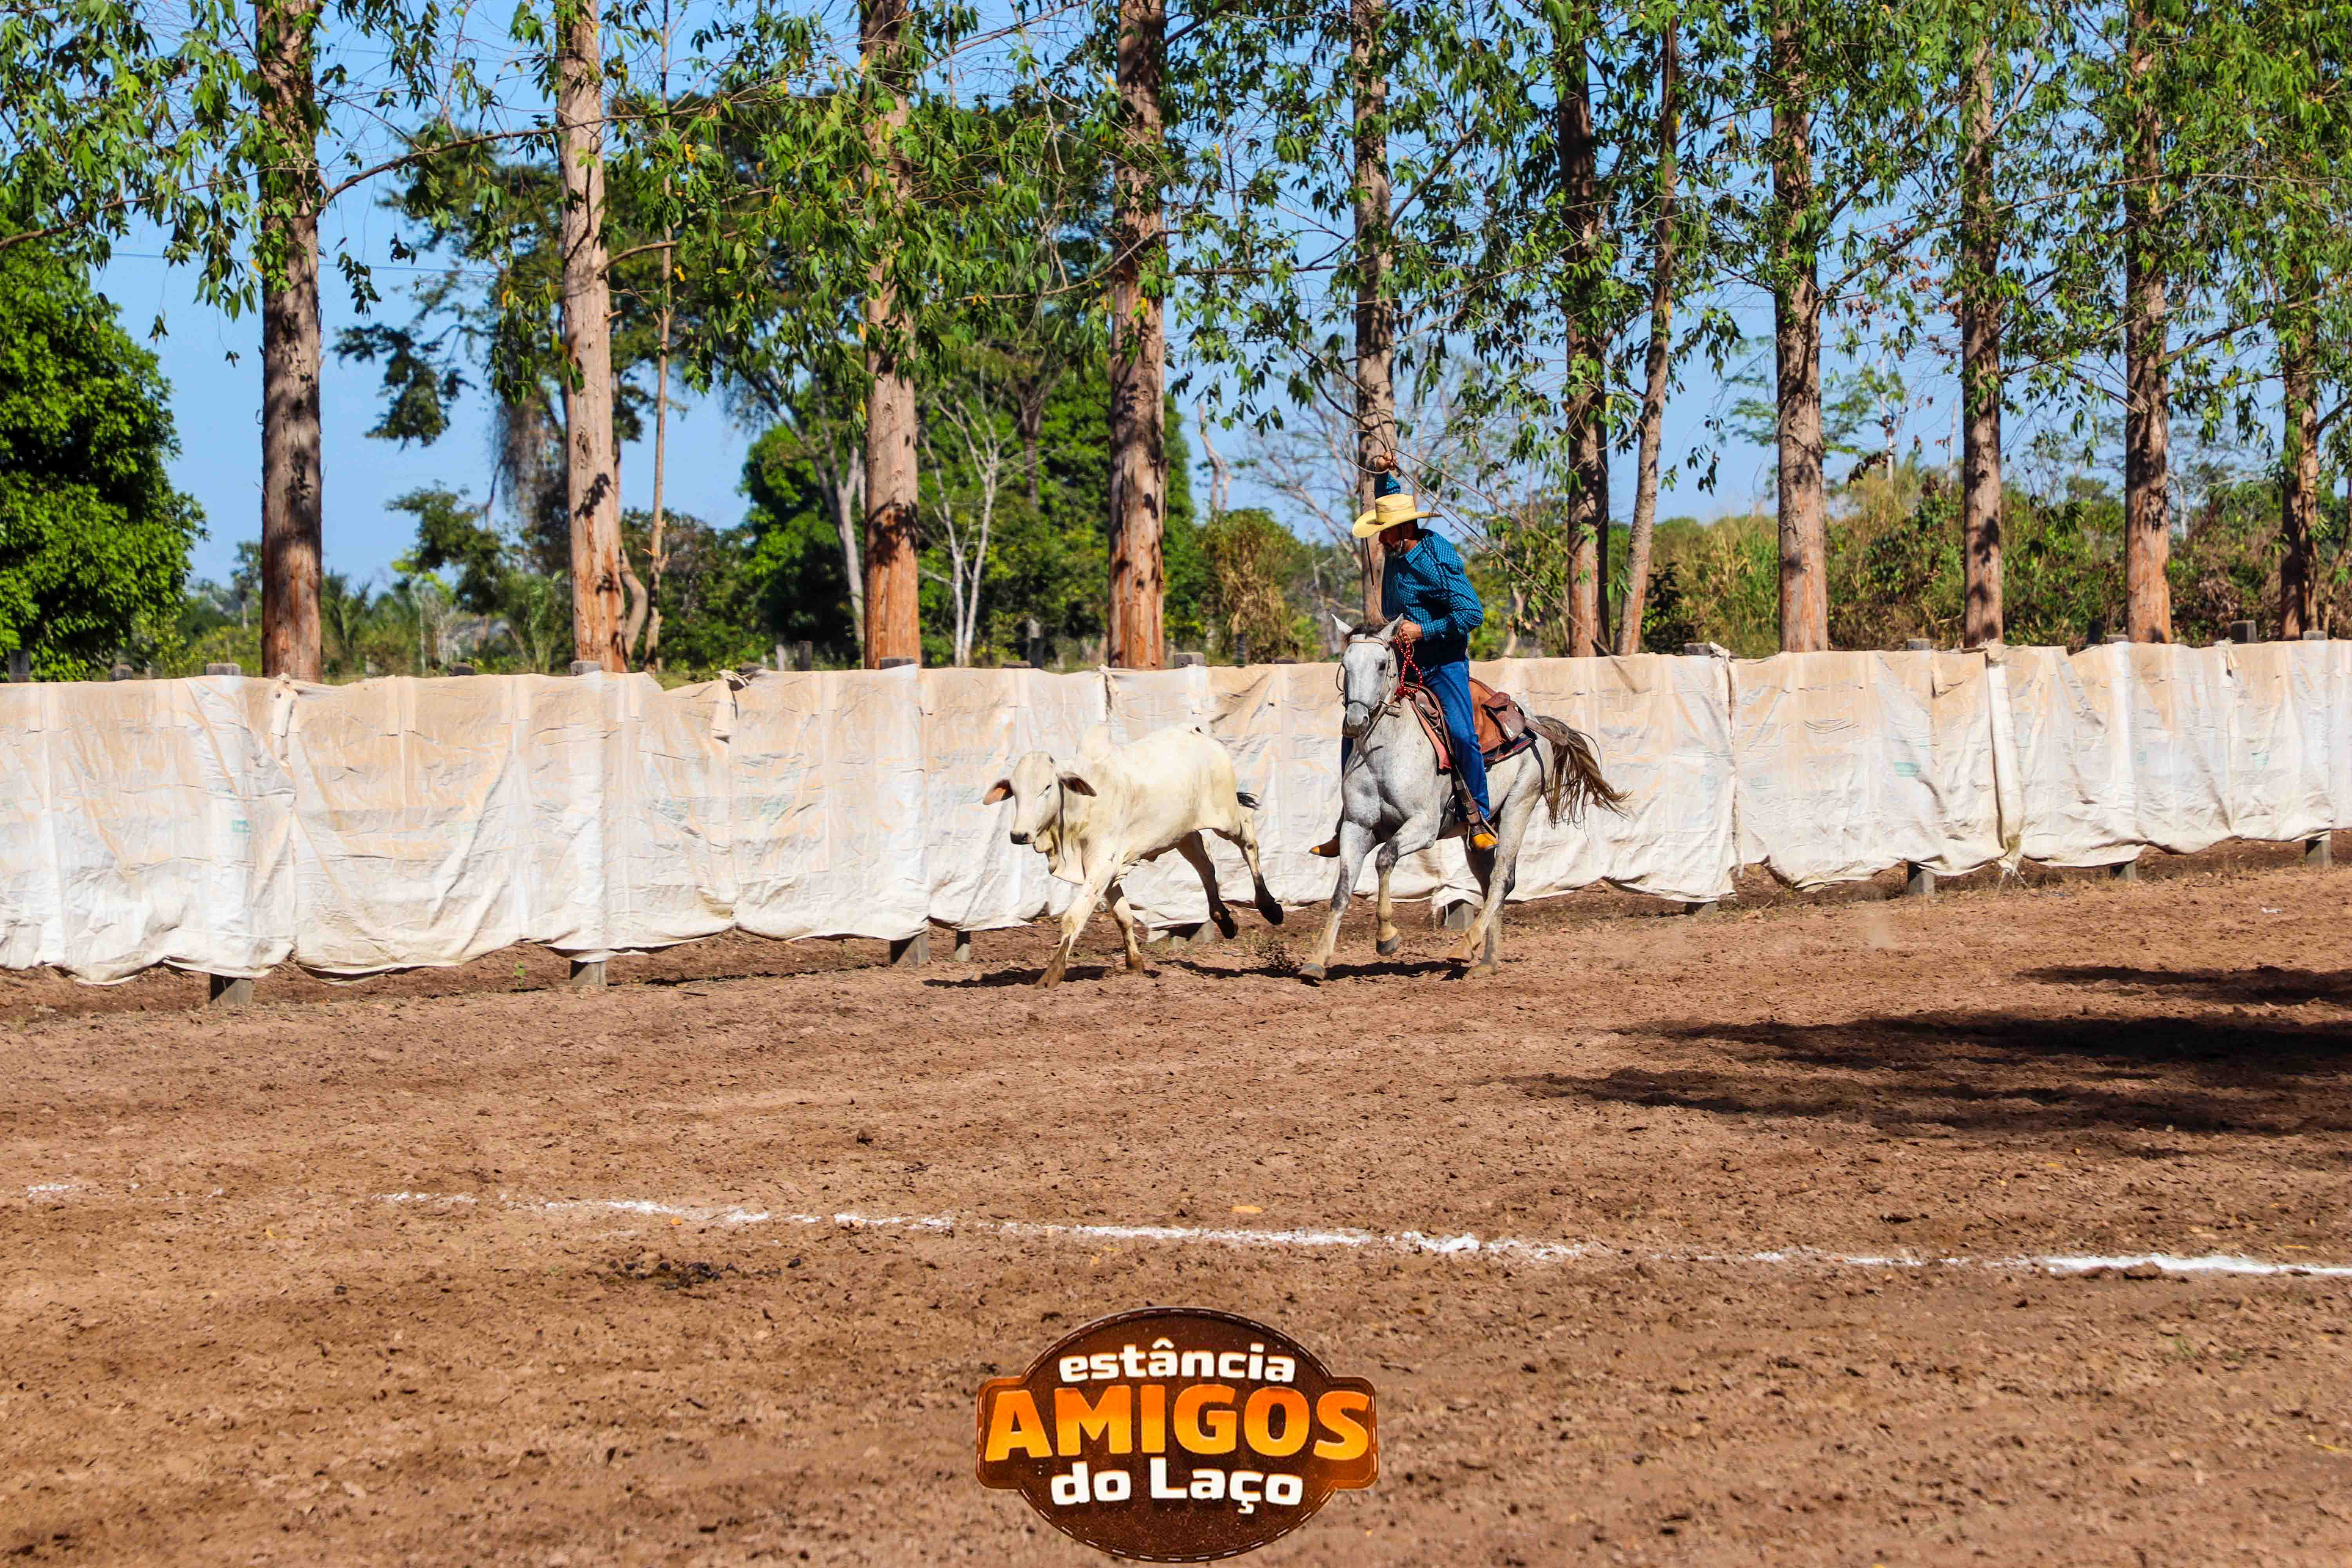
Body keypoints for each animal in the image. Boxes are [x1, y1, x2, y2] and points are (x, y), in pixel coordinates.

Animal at [982, 726, 1284, 986]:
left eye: (1046, 787)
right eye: (1015, 791)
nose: (1019, 835)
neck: (1078, 808)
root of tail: (1197, 732)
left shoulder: (1102, 864)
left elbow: (1074, 917)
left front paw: (1051, 974)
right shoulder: (1108, 871)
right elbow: (1123, 916)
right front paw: (1134, 963)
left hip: (1226, 817)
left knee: (1248, 837)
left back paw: (1269, 907)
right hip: (1183, 834)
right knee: (1205, 865)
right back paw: (1224, 919)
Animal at [1299, 618, 1627, 980]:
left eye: (1382, 664)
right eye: (1345, 666)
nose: (1356, 723)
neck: (1385, 754)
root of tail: (1532, 722)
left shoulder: (1423, 828)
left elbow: (1385, 859)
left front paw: (1386, 938)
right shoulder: (1356, 828)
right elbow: (1342, 890)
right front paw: (1316, 960)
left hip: (1519, 807)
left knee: (1502, 880)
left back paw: (1465, 945)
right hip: (1479, 837)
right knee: (1489, 883)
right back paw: (1487, 960)